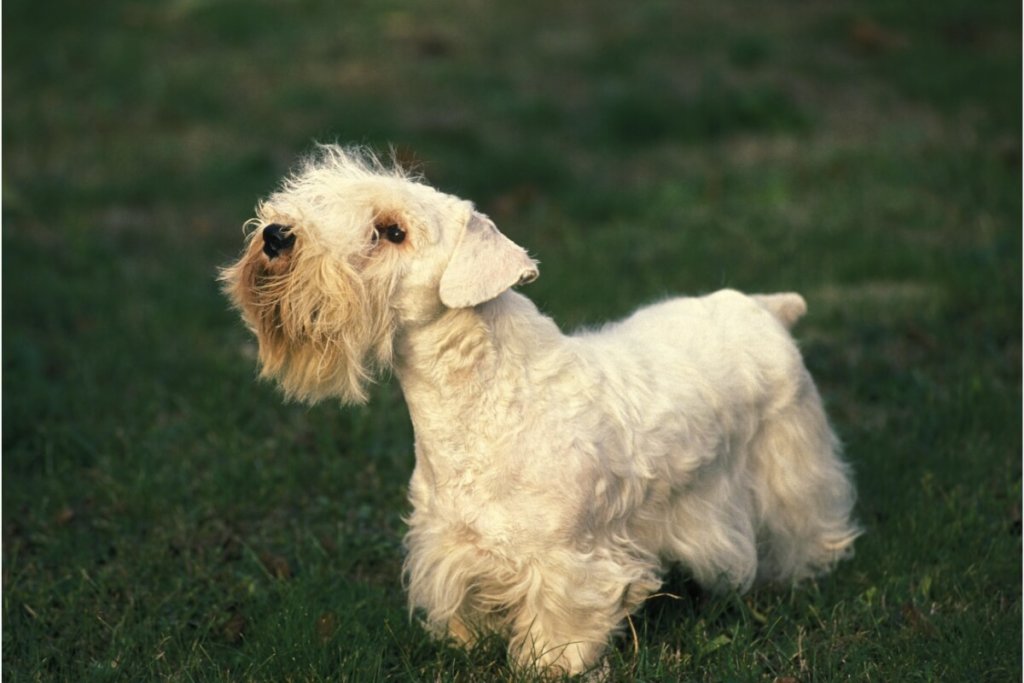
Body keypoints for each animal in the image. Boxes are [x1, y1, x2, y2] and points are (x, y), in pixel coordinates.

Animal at [220, 145, 860, 679]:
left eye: (392, 231)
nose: (276, 235)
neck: (480, 402)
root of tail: (766, 308)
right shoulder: (450, 544)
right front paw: (465, 644)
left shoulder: (569, 562)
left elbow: (560, 624)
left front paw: (549, 665)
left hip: (791, 463)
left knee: (810, 523)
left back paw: (804, 577)